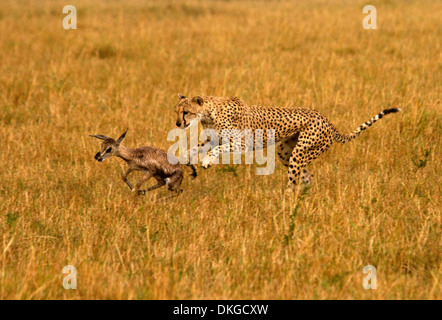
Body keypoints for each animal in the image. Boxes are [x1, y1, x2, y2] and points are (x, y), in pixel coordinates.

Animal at [174, 95, 400, 190]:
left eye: (185, 112)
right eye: (176, 111)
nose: (178, 123)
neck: (208, 113)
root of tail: (327, 120)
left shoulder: (242, 143)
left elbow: (218, 149)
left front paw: (206, 161)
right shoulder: (213, 138)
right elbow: (195, 148)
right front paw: (186, 159)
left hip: (300, 152)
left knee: (295, 180)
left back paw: (288, 201)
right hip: (286, 152)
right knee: (307, 175)